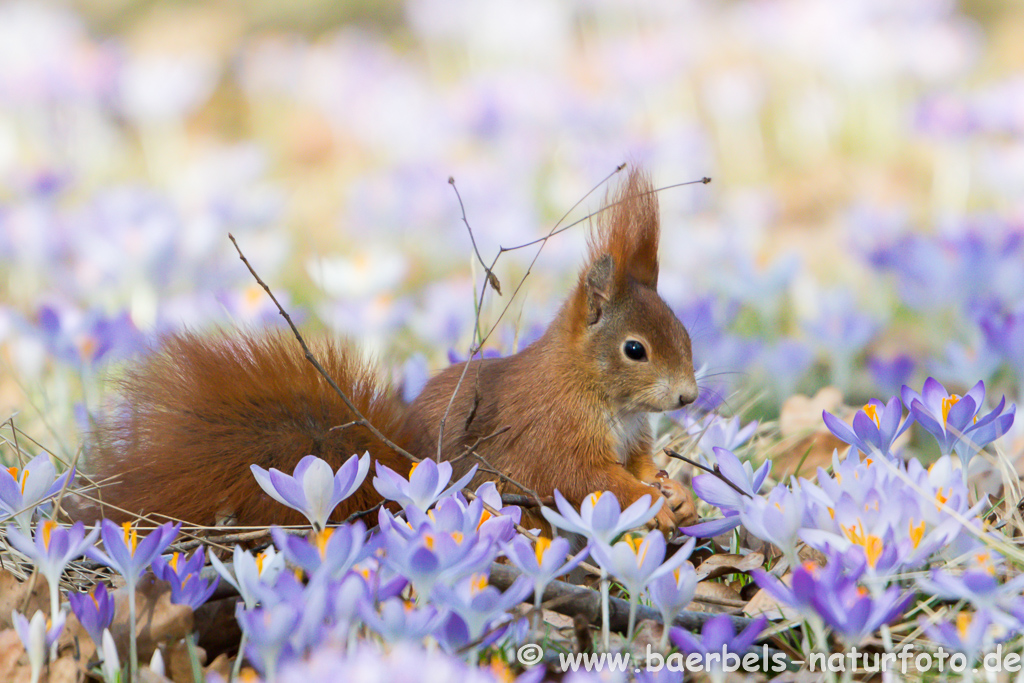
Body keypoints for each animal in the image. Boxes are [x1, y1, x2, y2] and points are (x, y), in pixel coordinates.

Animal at [83, 171, 700, 532]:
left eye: (686, 333)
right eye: (635, 349)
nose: (689, 397)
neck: (601, 395)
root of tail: (403, 465)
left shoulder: (632, 436)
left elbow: (641, 463)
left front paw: (678, 492)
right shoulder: (552, 431)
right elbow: (584, 476)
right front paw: (648, 499)